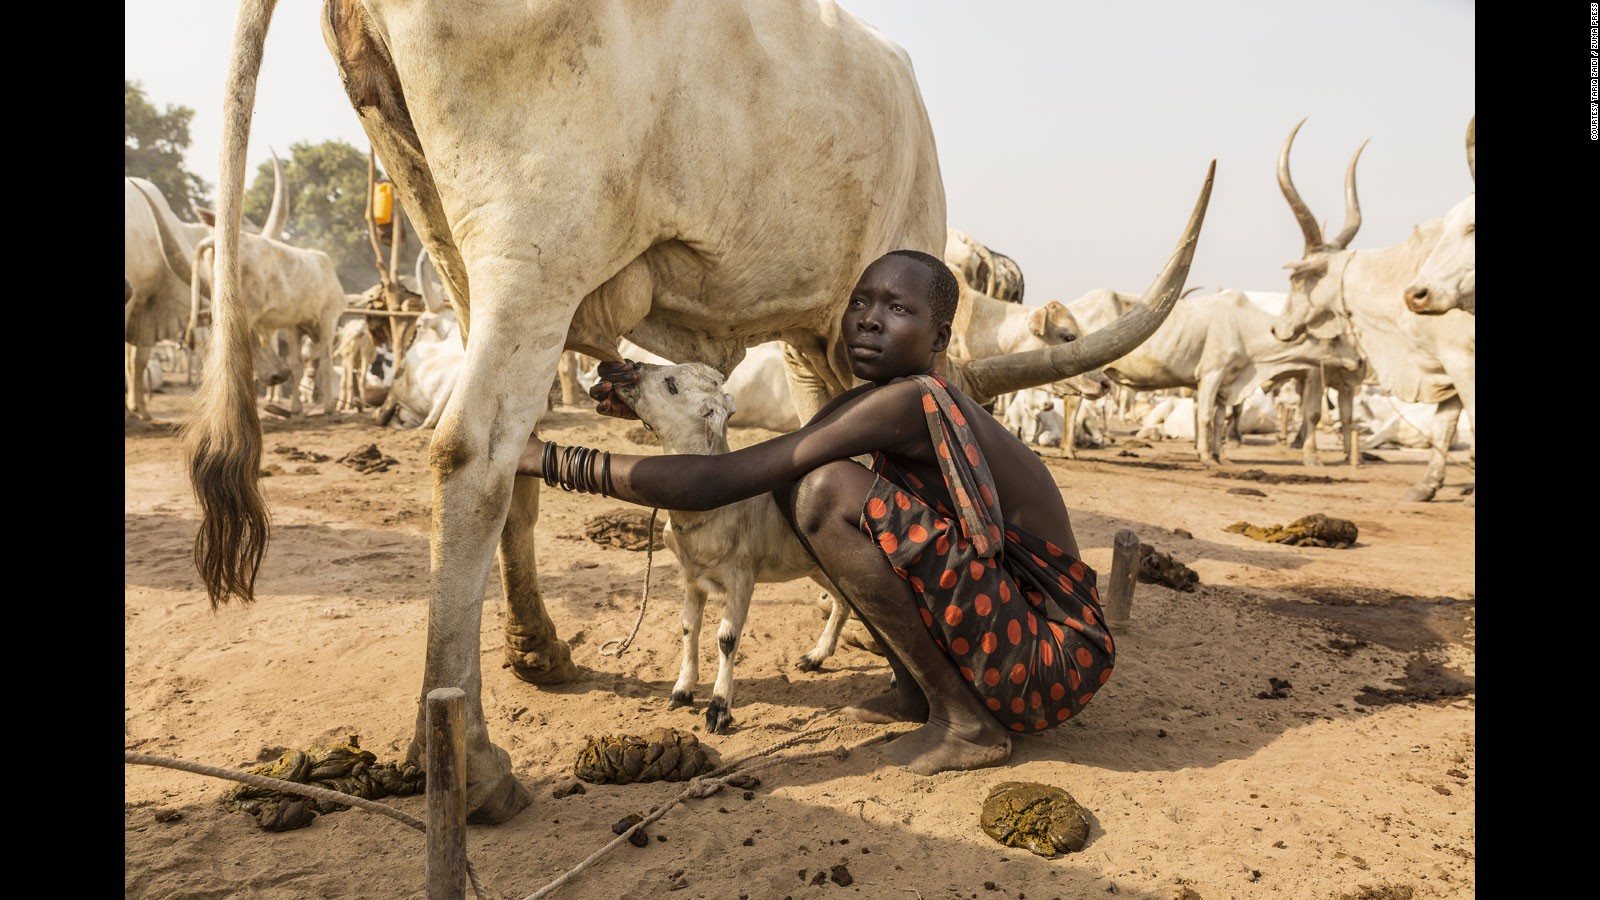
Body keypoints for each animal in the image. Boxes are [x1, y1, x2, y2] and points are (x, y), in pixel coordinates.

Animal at [190, 0, 1209, 819]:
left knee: (516, 457)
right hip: (536, 241)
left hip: (451, 236)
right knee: (472, 454)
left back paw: (539, 655)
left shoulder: (821, 333)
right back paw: (471, 769)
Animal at [1260, 117, 1472, 506]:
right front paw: (1427, 486)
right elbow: (1444, 424)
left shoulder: (1460, 360)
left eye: (1296, 279)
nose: (1277, 329)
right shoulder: (1445, 367)